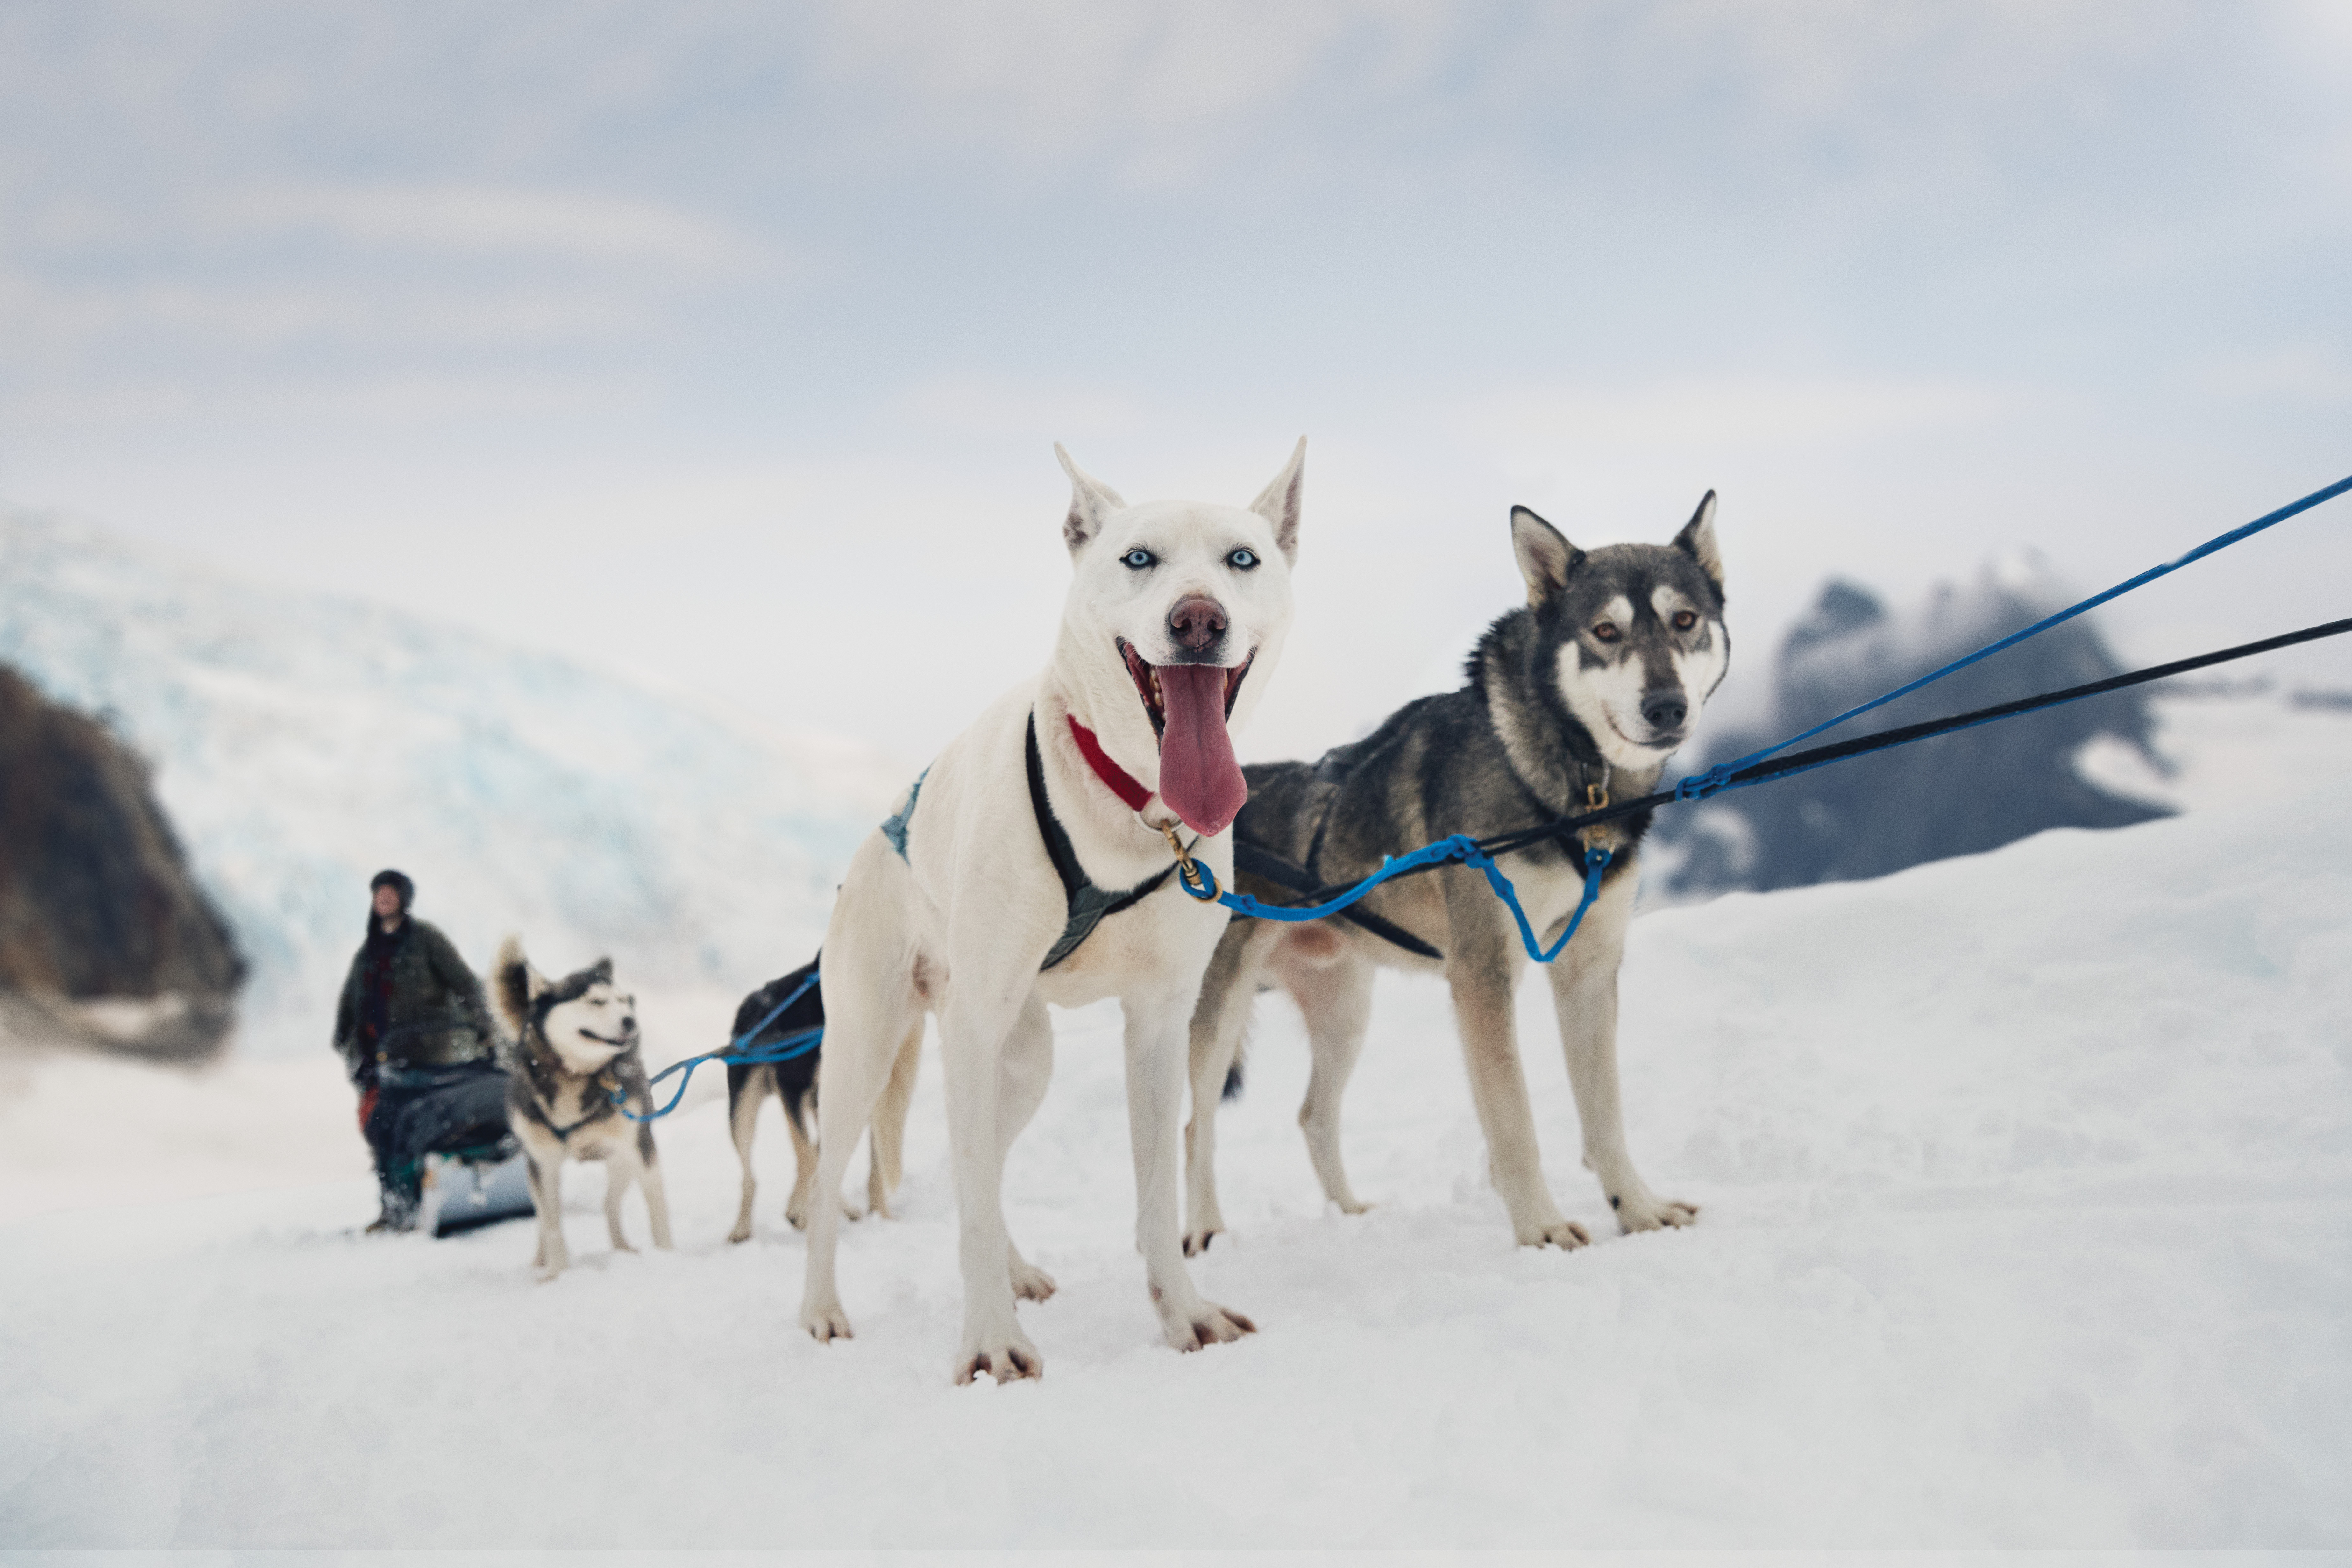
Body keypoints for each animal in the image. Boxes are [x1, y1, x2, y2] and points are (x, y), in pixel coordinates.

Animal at [491, 940, 677, 1279]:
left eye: (623, 1001)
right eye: (596, 1001)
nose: (631, 1020)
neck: (576, 1074)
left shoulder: (641, 1150)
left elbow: (658, 1215)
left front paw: (668, 1258)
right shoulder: (544, 1162)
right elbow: (552, 1225)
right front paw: (556, 1275)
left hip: (622, 1161)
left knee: (609, 1205)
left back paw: (623, 1250)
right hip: (538, 1171)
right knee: (543, 1217)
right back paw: (540, 1261)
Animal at [724, 959, 917, 1251]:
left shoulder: (875, 1099)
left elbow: (875, 1169)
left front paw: (882, 1216)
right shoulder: (792, 1086)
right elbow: (806, 1155)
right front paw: (800, 1210)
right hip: (743, 1109)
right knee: (751, 1177)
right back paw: (743, 1227)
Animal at [804, 435, 1308, 1382]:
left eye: (1241, 559)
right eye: (1139, 559)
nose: (1197, 622)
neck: (1130, 804)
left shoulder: (1158, 1022)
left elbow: (1155, 1196)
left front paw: (1183, 1315)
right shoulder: (974, 1024)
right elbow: (967, 1203)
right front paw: (990, 1342)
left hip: (1021, 1058)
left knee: (983, 1163)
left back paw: (1016, 1270)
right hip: (872, 1045)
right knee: (835, 1177)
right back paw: (821, 1307)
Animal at [1185, 496, 1722, 1260]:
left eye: (1685, 620)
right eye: (1605, 631)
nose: (1667, 706)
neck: (1568, 782)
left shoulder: (1588, 968)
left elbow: (1605, 1113)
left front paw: (1639, 1210)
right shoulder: (1481, 973)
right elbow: (1514, 1117)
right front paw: (1541, 1228)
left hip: (1345, 1010)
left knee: (1314, 1114)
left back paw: (1351, 1215)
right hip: (1216, 1008)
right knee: (1195, 1122)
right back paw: (1205, 1231)